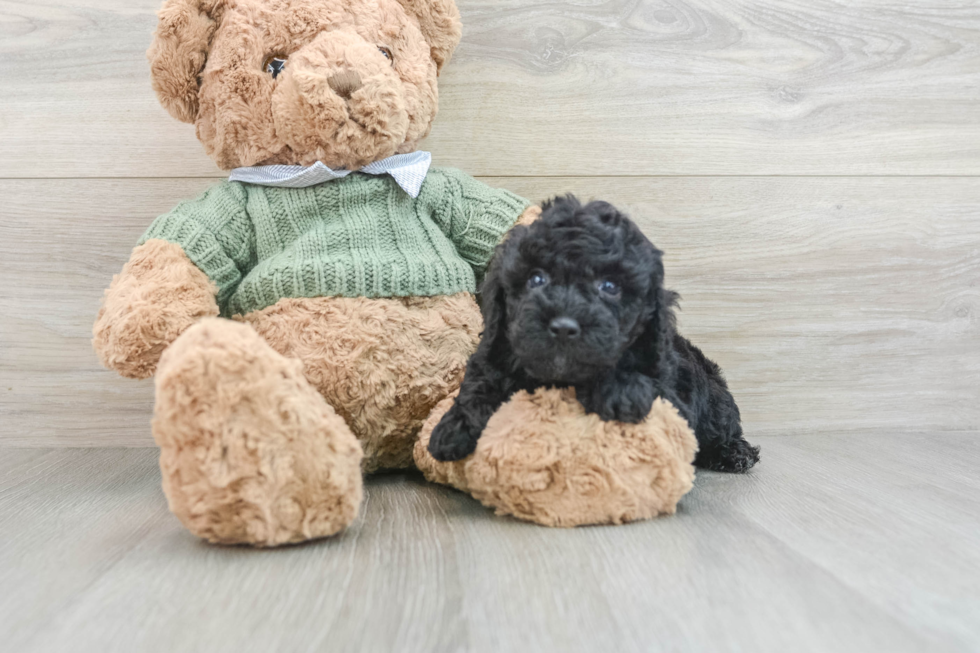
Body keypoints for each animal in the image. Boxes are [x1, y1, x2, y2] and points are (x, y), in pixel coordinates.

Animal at [426, 196, 756, 472]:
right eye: (536, 279)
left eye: (609, 286)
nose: (563, 327)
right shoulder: (498, 346)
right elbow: (481, 381)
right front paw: (453, 428)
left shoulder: (671, 390)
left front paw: (620, 392)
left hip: (715, 401)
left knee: (722, 427)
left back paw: (735, 453)